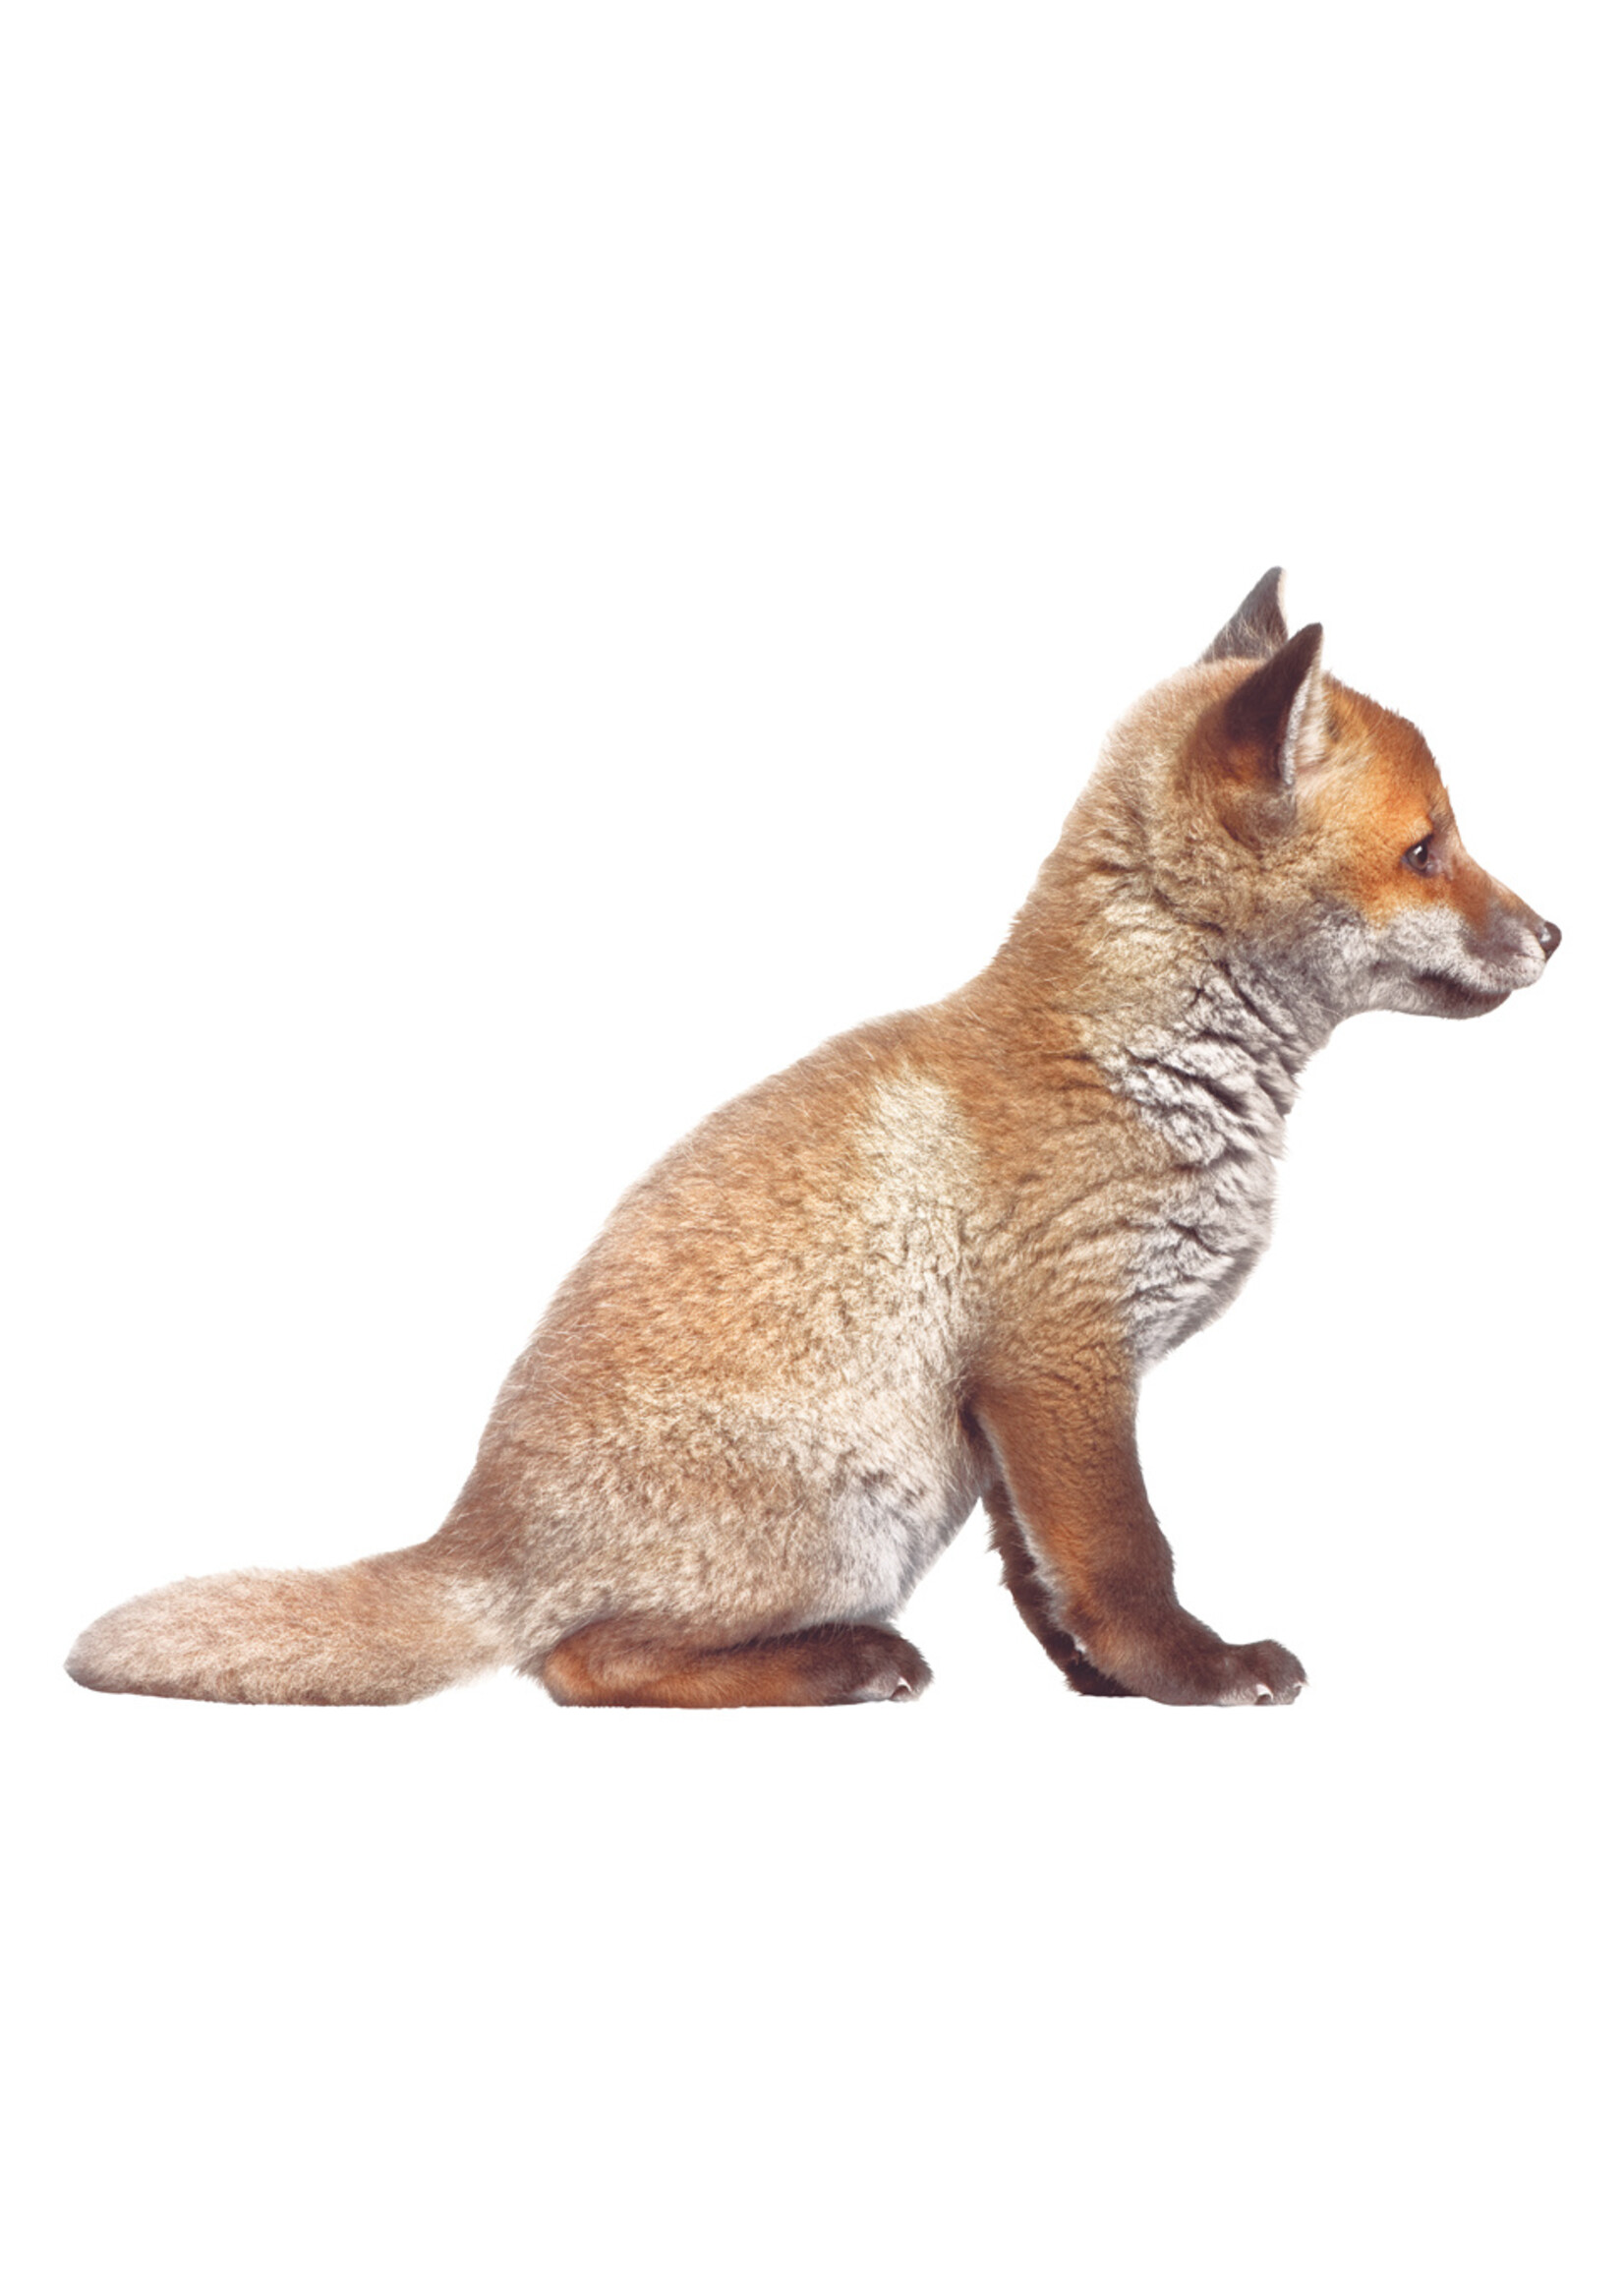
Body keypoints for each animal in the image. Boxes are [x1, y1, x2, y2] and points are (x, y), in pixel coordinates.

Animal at [67, 571, 1559, 1711]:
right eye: (1428, 850)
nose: (1554, 933)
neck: (1141, 1068)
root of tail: (474, 1536)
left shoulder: (1008, 1411)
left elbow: (1050, 1583)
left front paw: (1101, 1684)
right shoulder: (1060, 1359)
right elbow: (1128, 1561)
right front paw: (1195, 1676)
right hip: (855, 1511)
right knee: (575, 1666)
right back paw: (843, 1664)